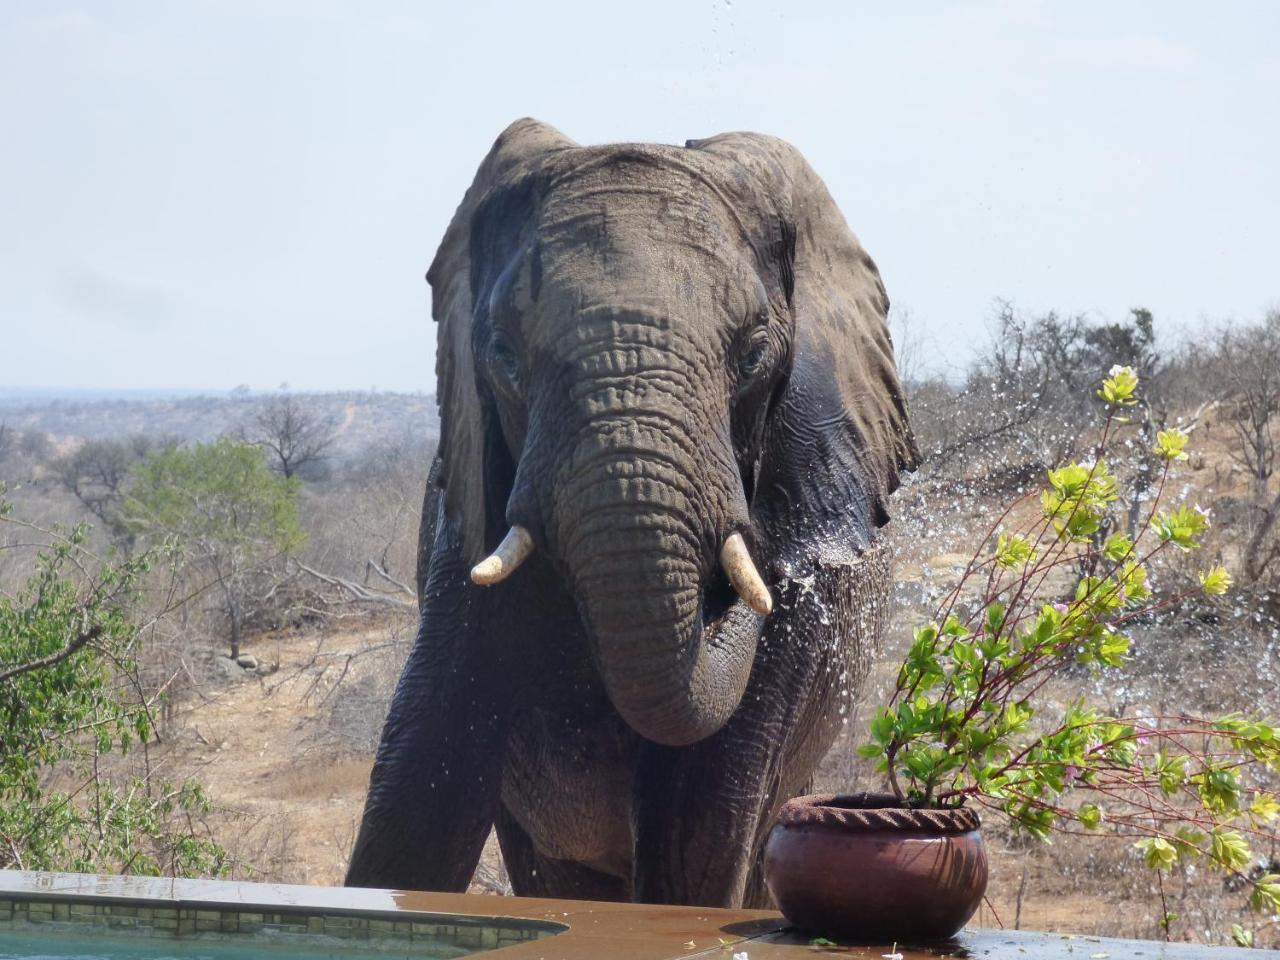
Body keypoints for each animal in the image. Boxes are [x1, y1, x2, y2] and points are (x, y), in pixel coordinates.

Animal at [345, 118, 916, 911]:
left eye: (753, 353)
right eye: (503, 355)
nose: (750, 526)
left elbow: (695, 836)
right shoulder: (465, 523)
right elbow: (422, 777)